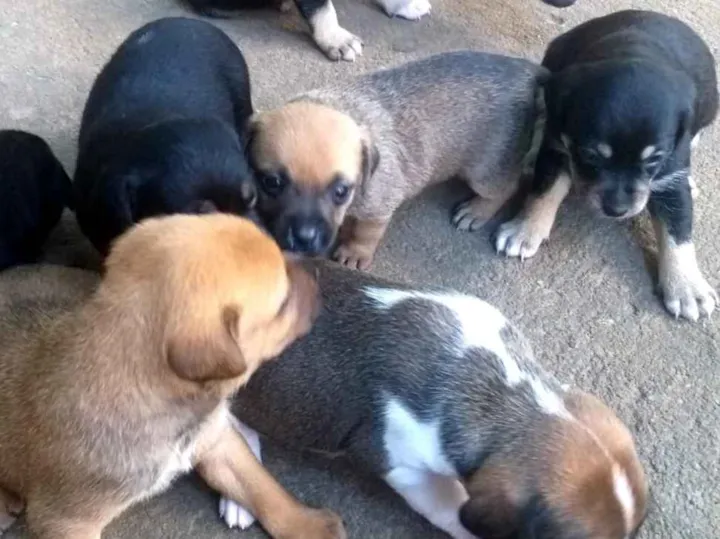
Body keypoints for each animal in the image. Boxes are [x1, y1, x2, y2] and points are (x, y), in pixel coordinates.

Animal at [0, 214, 348, 539]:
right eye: (283, 303)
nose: (318, 271)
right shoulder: (67, 520)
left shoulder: (216, 438)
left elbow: (262, 488)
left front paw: (308, 524)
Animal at [247, 51, 547, 269]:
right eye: (271, 183)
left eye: (341, 191)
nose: (304, 239)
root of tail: (525, 71)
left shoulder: (379, 207)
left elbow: (366, 232)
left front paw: (355, 252)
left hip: (486, 170)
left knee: (505, 188)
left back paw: (477, 211)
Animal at [495, 10, 719, 321]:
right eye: (591, 155)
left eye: (654, 159)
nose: (616, 210)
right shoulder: (557, 145)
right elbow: (543, 191)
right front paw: (525, 229)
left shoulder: (673, 169)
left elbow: (678, 230)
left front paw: (687, 287)